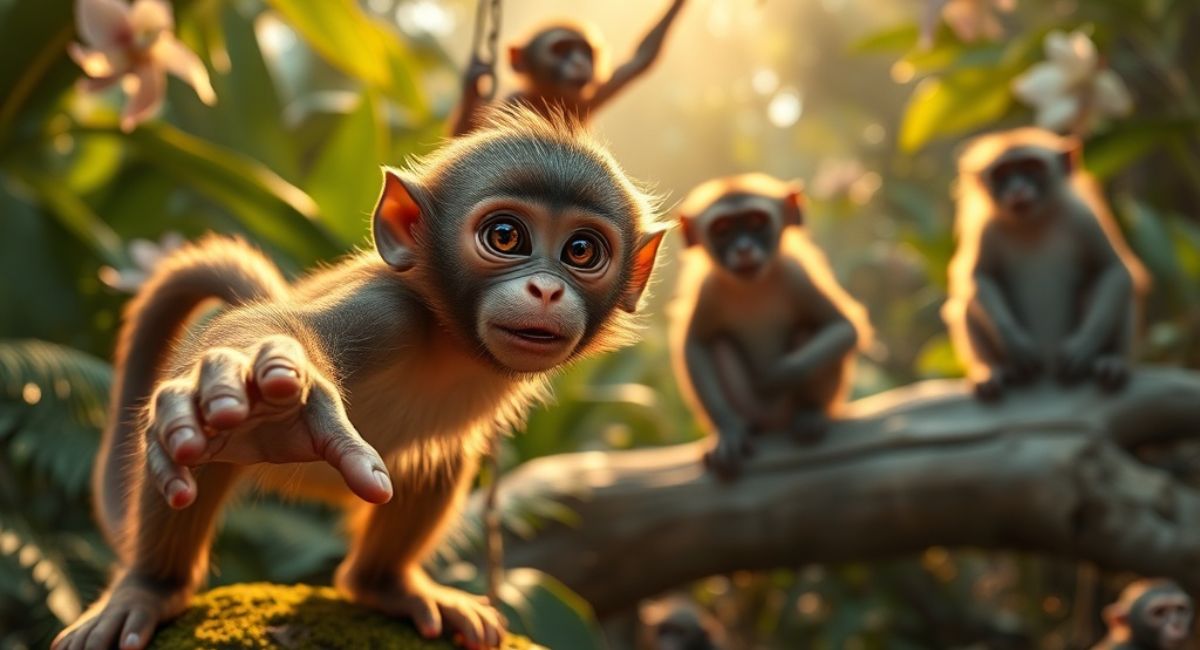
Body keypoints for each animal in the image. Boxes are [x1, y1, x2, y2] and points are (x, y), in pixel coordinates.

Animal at [53, 106, 666, 650]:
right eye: (506, 237)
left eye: (581, 250)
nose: (546, 289)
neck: (451, 340)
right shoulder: (387, 312)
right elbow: (272, 333)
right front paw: (264, 396)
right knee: (201, 450)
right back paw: (152, 587)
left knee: (438, 460)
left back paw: (383, 585)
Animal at [450, 0, 687, 136]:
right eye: (562, 49)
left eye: (584, 51)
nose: (580, 62)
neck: (549, 100)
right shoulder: (511, 102)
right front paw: (472, 87)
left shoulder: (587, 99)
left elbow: (643, 56)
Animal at [669, 174, 872, 480]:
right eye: (722, 229)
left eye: (756, 222)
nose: (743, 249)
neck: (753, 286)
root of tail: (774, 423)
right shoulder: (709, 289)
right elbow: (696, 345)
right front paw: (728, 429)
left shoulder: (796, 275)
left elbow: (843, 327)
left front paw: (777, 376)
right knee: (719, 343)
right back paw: (749, 427)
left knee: (806, 330)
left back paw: (811, 413)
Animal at [943, 127, 1149, 401]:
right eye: (1003, 174)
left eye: (1032, 167)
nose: (1017, 189)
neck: (1033, 223)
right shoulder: (986, 229)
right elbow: (978, 277)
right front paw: (1014, 342)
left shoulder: (1083, 218)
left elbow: (1114, 270)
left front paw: (1083, 346)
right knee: (967, 303)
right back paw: (991, 370)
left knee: (1114, 289)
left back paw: (1112, 361)